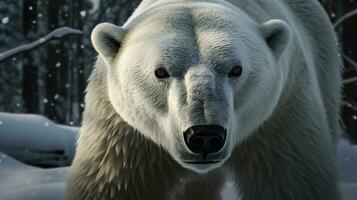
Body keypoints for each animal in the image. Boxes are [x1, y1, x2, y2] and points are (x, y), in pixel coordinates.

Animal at [67, 0, 342, 199]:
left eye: (236, 69)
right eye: (161, 72)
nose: (205, 136)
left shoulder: (281, 118)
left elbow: (291, 181)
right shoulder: (125, 137)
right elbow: (112, 185)